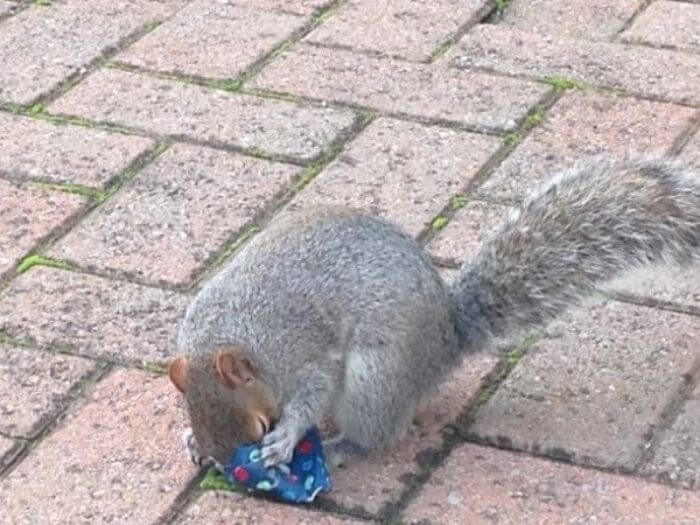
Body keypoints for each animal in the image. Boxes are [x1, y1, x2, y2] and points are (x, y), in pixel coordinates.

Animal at [168, 155, 700, 466]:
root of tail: (447, 340)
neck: (232, 332)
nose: (221, 463)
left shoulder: (306, 353)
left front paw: (288, 436)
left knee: (380, 431)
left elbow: (311, 396)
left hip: (376, 378)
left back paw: (343, 447)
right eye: (191, 409)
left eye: (260, 426)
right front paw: (191, 441)